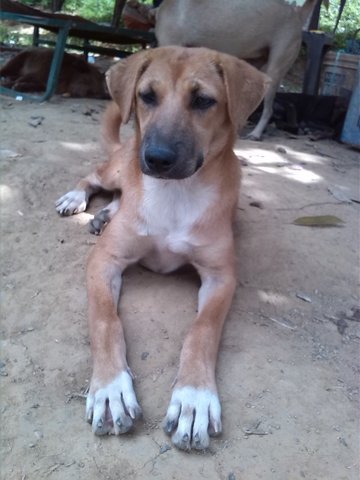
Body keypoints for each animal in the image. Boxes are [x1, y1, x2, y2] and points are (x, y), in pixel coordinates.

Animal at [56, 46, 268, 450]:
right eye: (147, 96)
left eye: (203, 100)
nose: (156, 158)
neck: (175, 194)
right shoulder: (104, 260)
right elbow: (105, 320)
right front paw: (110, 389)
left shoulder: (221, 277)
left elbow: (202, 331)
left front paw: (194, 398)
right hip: (117, 169)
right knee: (94, 176)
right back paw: (79, 198)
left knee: (117, 196)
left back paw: (105, 214)